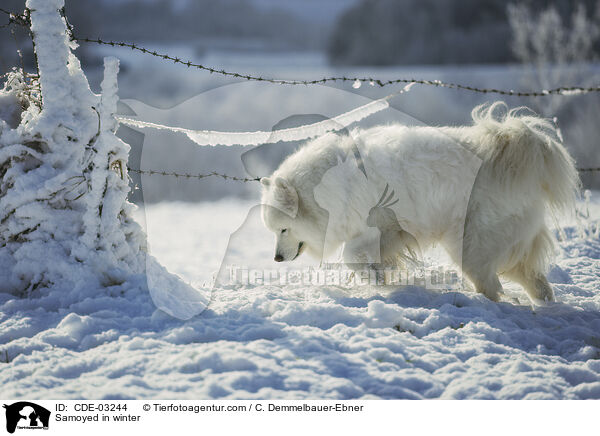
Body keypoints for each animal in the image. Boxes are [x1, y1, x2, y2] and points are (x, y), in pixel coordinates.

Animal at [260, 102, 580, 304]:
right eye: (274, 231)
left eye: (284, 230)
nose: (275, 259)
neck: (335, 187)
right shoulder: (391, 231)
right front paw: (380, 275)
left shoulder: (379, 225)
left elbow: (351, 254)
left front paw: (374, 278)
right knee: (533, 279)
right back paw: (545, 305)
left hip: (469, 244)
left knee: (490, 282)